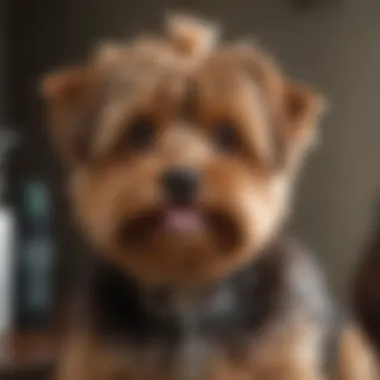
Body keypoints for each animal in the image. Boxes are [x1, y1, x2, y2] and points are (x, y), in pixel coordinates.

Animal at [42, 14, 378, 380]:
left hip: (351, 347)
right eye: (140, 133)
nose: (182, 179)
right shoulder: (95, 359)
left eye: (228, 135)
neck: (190, 288)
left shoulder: (285, 358)